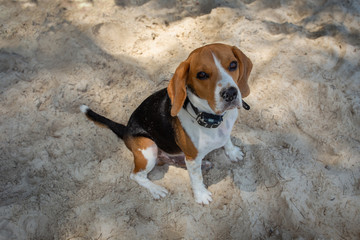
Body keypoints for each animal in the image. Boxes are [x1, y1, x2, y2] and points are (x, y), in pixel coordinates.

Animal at [80, 43, 252, 204]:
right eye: (201, 75)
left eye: (233, 65)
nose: (230, 93)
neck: (210, 117)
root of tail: (126, 129)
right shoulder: (191, 157)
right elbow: (196, 178)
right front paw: (201, 195)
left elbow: (227, 140)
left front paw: (232, 152)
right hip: (148, 147)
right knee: (136, 175)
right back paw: (156, 189)